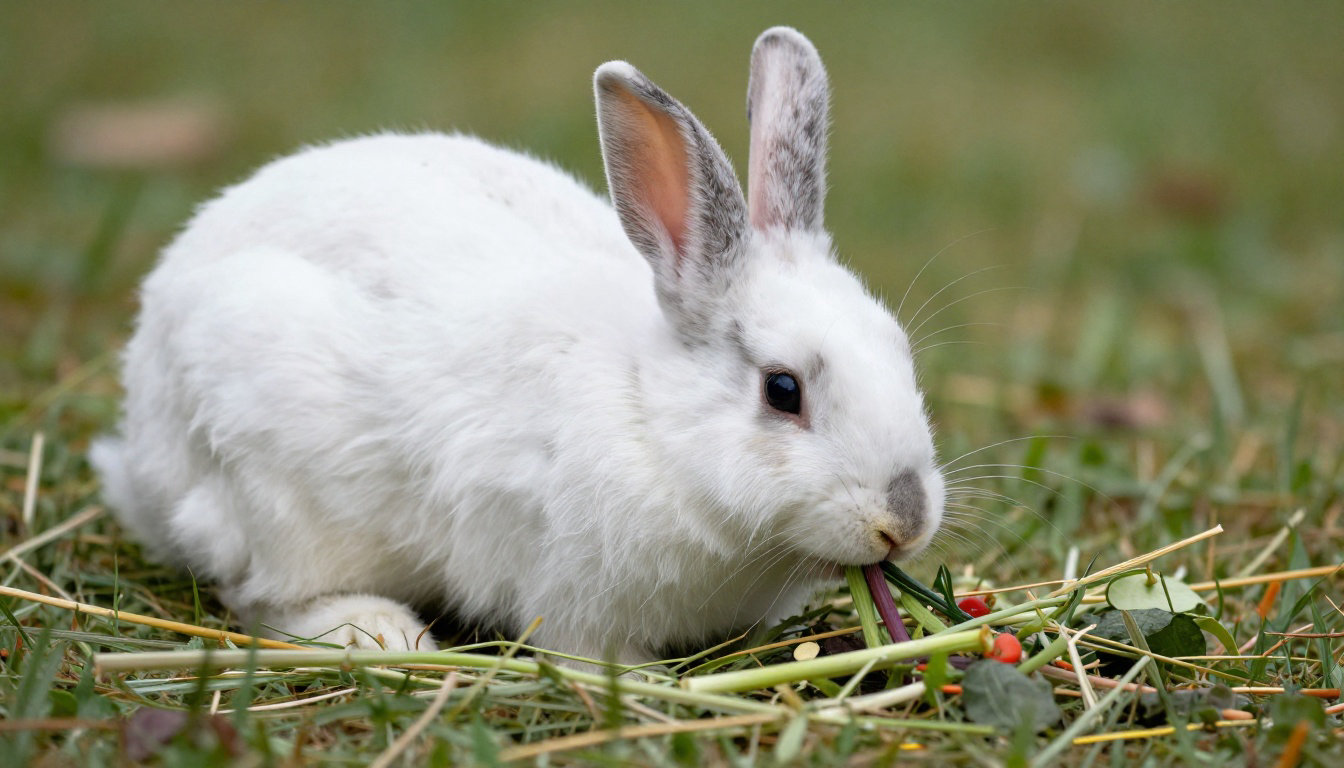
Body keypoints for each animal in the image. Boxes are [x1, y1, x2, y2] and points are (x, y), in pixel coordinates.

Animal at [91, 26, 945, 664]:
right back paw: (380, 632)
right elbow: (587, 651)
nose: (904, 520)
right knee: (260, 596)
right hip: (273, 488)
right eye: (782, 390)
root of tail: (140, 450)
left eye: (901, 352)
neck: (650, 419)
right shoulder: (572, 591)